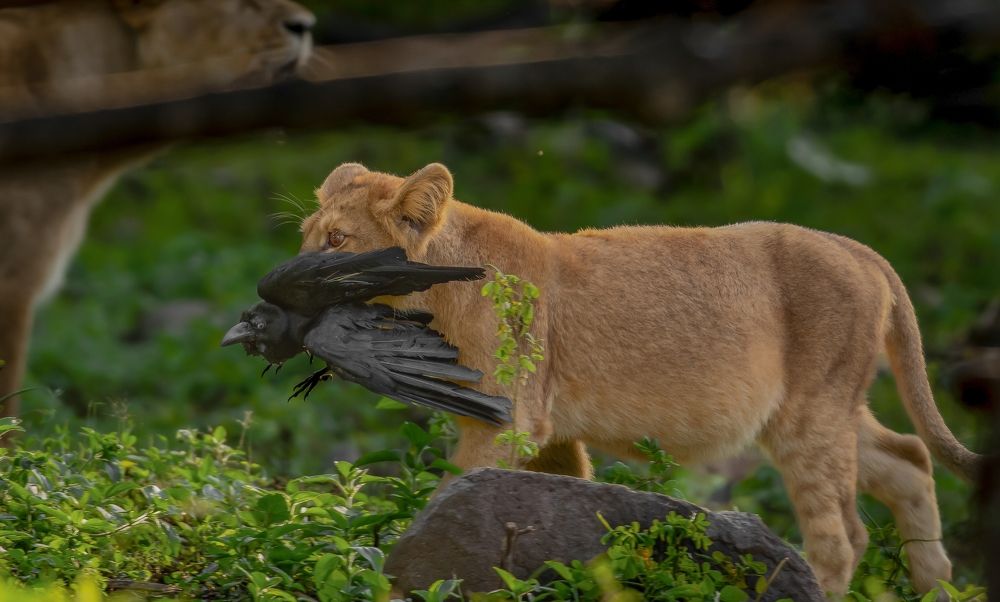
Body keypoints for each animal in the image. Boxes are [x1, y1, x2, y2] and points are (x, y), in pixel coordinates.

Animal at [299, 162, 982, 596]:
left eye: (337, 239)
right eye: (307, 235)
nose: (288, 276)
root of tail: (859, 248)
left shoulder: (509, 418)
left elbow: (449, 494)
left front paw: (399, 568)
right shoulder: (546, 432)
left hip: (810, 416)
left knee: (844, 536)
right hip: (828, 410)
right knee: (910, 457)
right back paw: (935, 587)